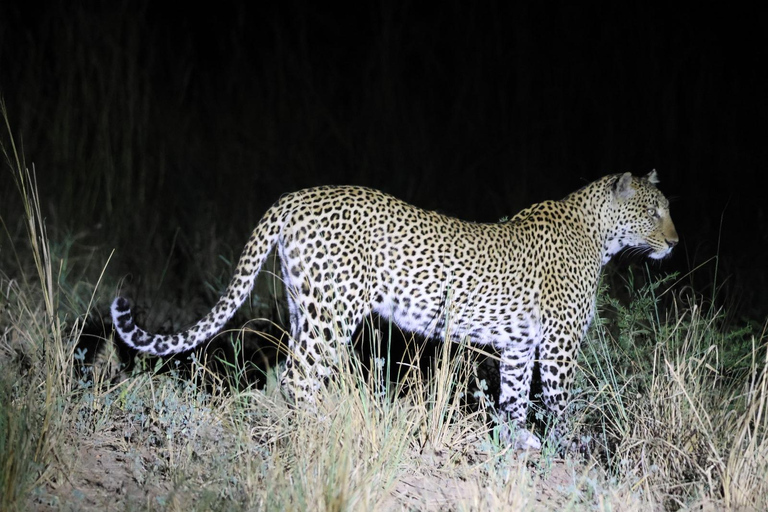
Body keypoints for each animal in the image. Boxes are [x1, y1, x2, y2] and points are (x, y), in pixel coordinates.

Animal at [111, 171, 676, 448]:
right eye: (654, 213)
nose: (674, 242)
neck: (600, 235)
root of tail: (293, 197)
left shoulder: (520, 345)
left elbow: (514, 400)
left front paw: (518, 444)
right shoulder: (558, 346)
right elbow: (562, 404)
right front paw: (570, 451)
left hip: (305, 305)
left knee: (290, 370)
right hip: (335, 310)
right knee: (300, 375)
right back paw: (326, 424)